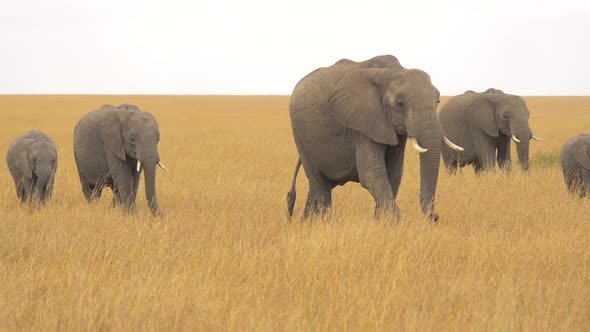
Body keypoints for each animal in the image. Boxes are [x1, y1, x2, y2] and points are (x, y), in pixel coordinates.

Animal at [286, 54, 462, 220]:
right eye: (400, 104)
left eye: (438, 101)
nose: (435, 217)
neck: (391, 72)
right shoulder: (362, 122)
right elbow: (372, 173)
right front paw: (394, 220)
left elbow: (394, 172)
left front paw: (381, 221)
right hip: (299, 134)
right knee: (319, 184)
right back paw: (325, 222)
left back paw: (308, 222)